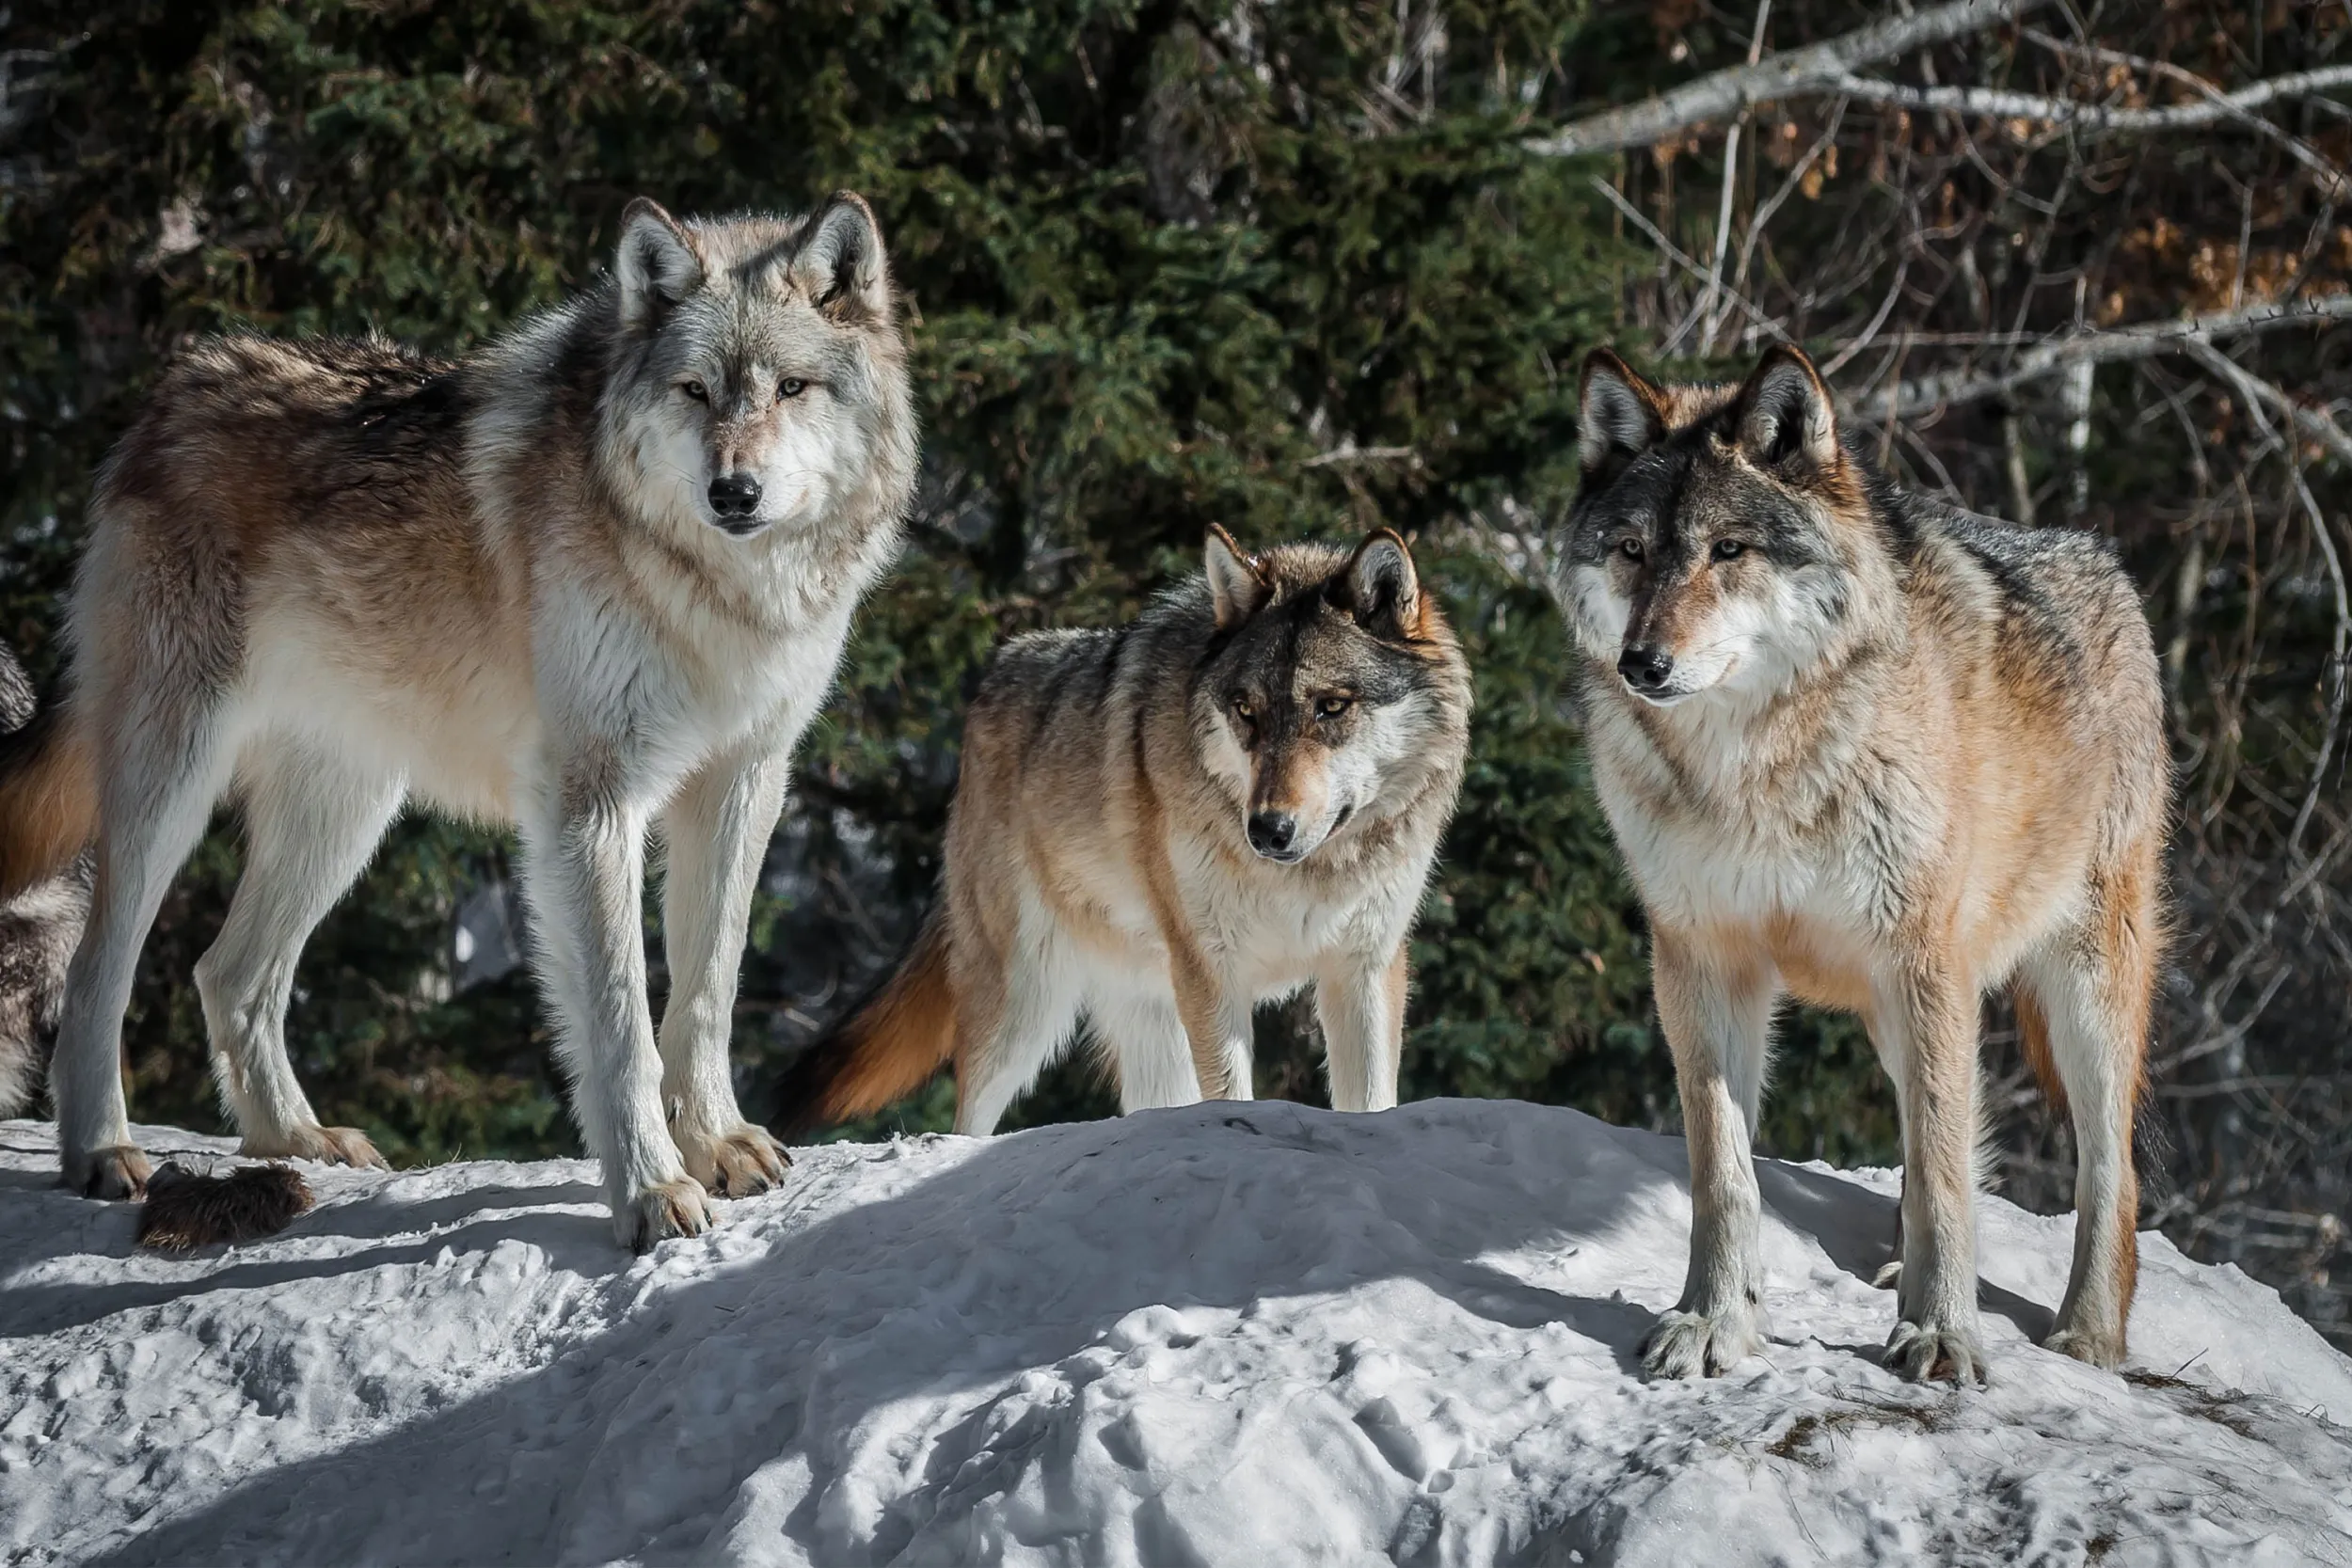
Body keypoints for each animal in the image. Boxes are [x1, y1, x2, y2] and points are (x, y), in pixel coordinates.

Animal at [0, 195, 917, 1248]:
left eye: (791, 388)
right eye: (694, 390)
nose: (734, 492)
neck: (716, 592)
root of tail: (169, 396)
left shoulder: (744, 780)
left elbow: (708, 991)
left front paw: (718, 1145)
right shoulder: (591, 799)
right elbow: (619, 1018)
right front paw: (650, 1191)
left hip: (346, 815)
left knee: (225, 972)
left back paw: (299, 1139)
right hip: (174, 785)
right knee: (99, 970)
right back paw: (102, 1151)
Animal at [777, 526, 1472, 1136]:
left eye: (1331, 706)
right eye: (1245, 711)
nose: (1268, 830)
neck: (1308, 877)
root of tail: (994, 673)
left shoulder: (1364, 967)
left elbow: (1371, 1102)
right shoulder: (1213, 973)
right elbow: (1232, 1092)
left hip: (1144, 1017)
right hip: (1023, 1008)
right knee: (968, 1118)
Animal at [1555, 344, 2167, 1383]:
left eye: (1729, 550)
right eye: (1632, 550)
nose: (1643, 662)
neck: (1755, 772)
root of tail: (2103, 559)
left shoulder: (1924, 958)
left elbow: (1947, 1169)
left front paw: (1942, 1333)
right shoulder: (1701, 959)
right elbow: (1723, 1174)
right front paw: (1712, 1320)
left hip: (2073, 986)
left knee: (2103, 1170)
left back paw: (2087, 1333)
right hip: (1893, 1007)